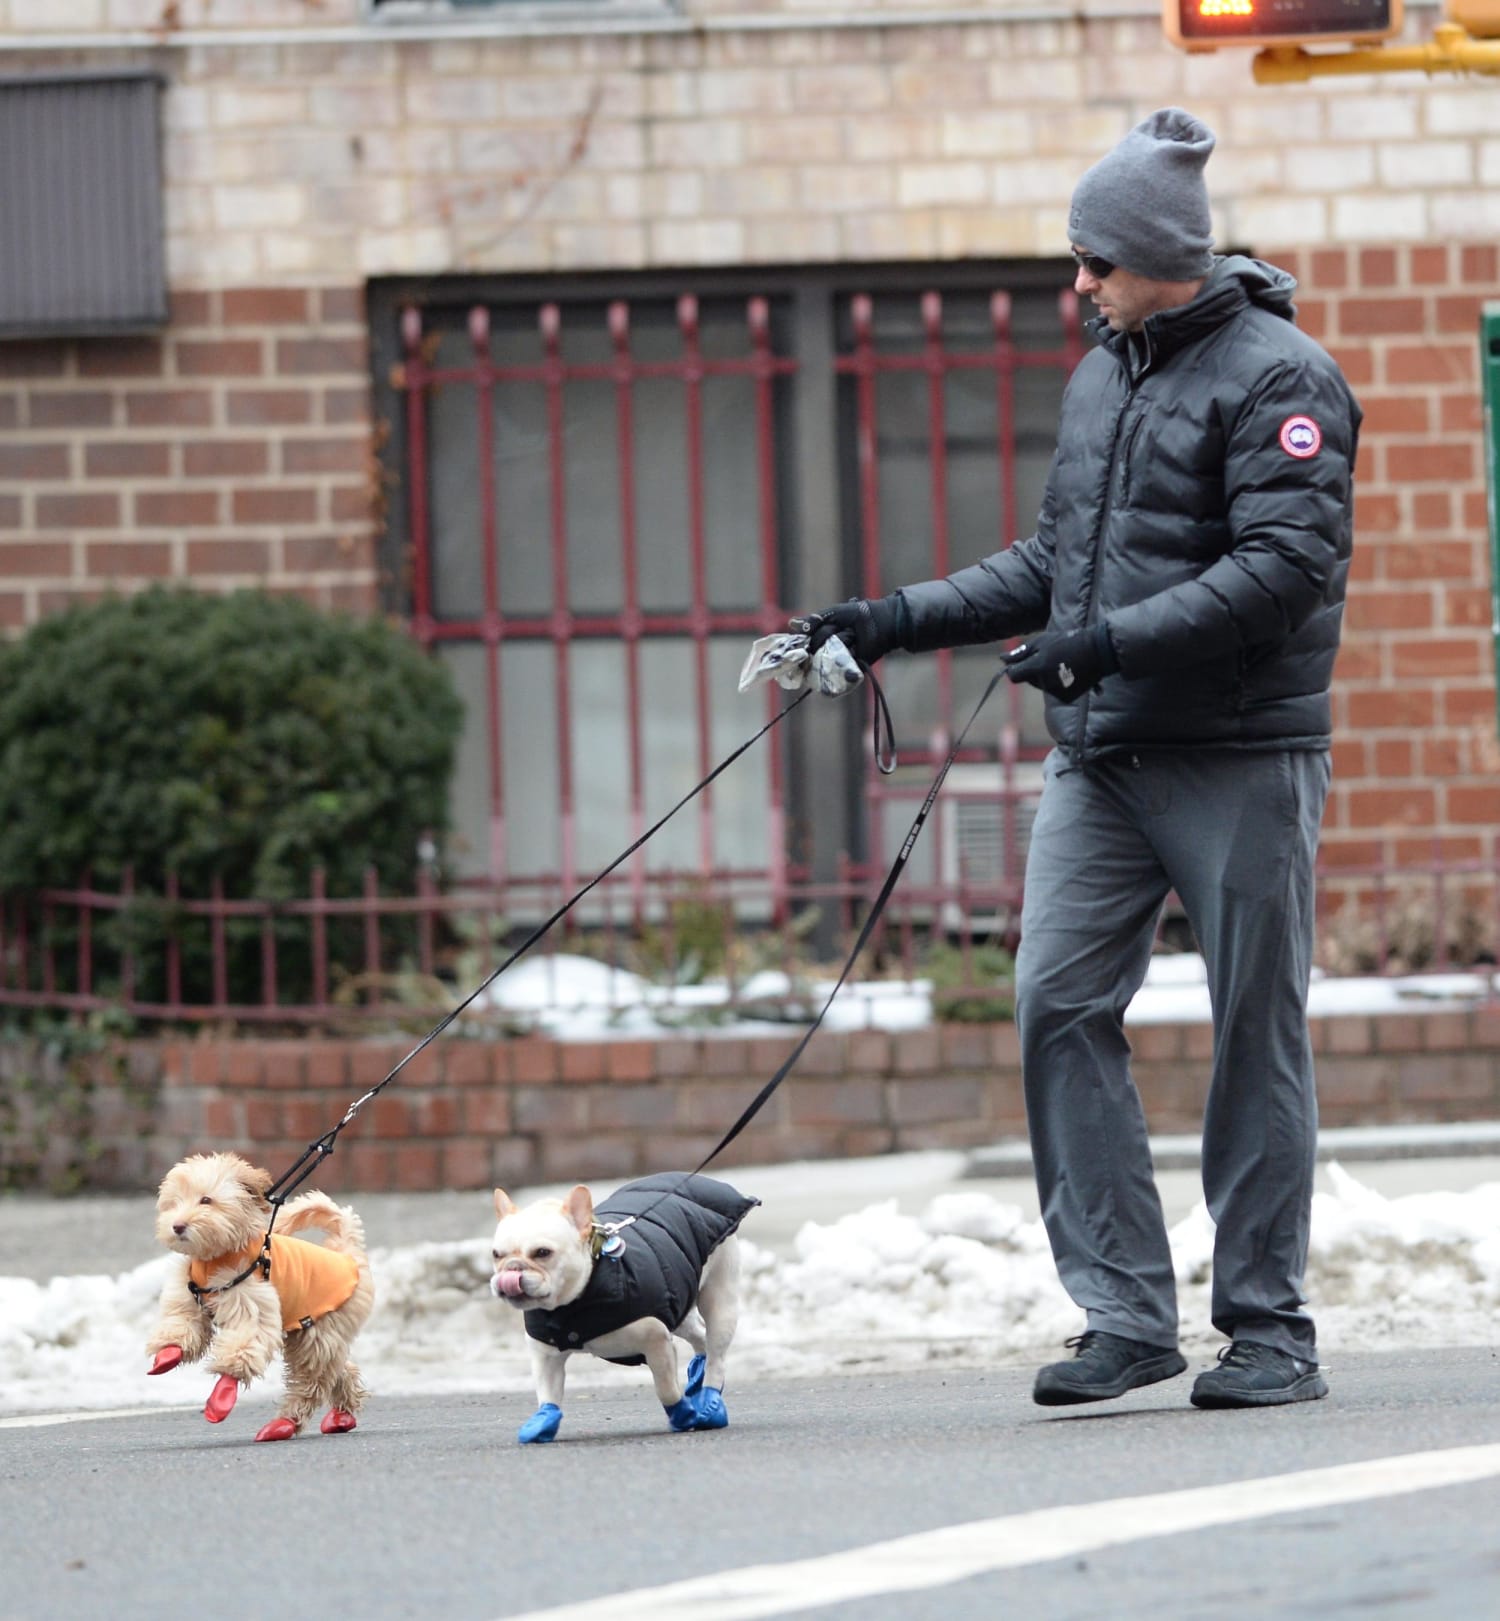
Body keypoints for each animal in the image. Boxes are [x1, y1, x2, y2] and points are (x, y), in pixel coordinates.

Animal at [145, 1154, 372, 1445]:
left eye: (206, 1200)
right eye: (174, 1203)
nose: (177, 1226)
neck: (217, 1258)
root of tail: (347, 1254)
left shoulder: (252, 1305)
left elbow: (244, 1342)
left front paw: (223, 1393)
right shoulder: (189, 1301)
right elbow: (183, 1324)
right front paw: (168, 1353)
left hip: (320, 1331)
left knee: (312, 1381)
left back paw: (283, 1423)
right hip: (311, 1333)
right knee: (339, 1370)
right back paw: (342, 1415)